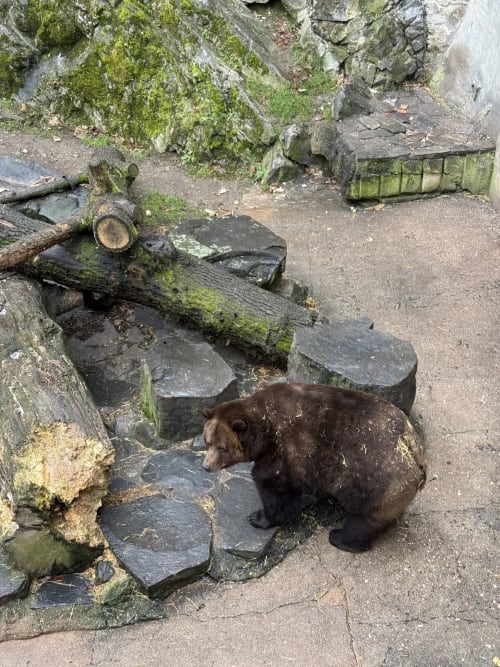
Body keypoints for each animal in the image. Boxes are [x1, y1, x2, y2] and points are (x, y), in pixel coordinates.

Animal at [202, 382, 426, 552]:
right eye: (207, 441)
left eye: (222, 448)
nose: (206, 466)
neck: (264, 430)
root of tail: (414, 449)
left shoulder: (283, 449)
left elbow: (274, 487)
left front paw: (258, 517)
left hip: (376, 481)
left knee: (362, 520)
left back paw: (340, 538)